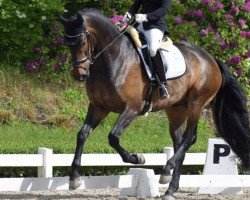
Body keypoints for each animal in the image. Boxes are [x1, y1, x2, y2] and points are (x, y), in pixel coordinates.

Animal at [59, 8, 249, 200]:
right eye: (67, 43)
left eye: (82, 41)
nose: (80, 75)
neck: (114, 58)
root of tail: (211, 59)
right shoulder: (98, 107)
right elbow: (82, 134)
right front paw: (74, 178)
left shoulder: (131, 108)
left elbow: (113, 137)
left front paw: (137, 158)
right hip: (176, 110)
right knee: (179, 142)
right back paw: (170, 188)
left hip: (197, 103)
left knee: (189, 138)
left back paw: (166, 169)